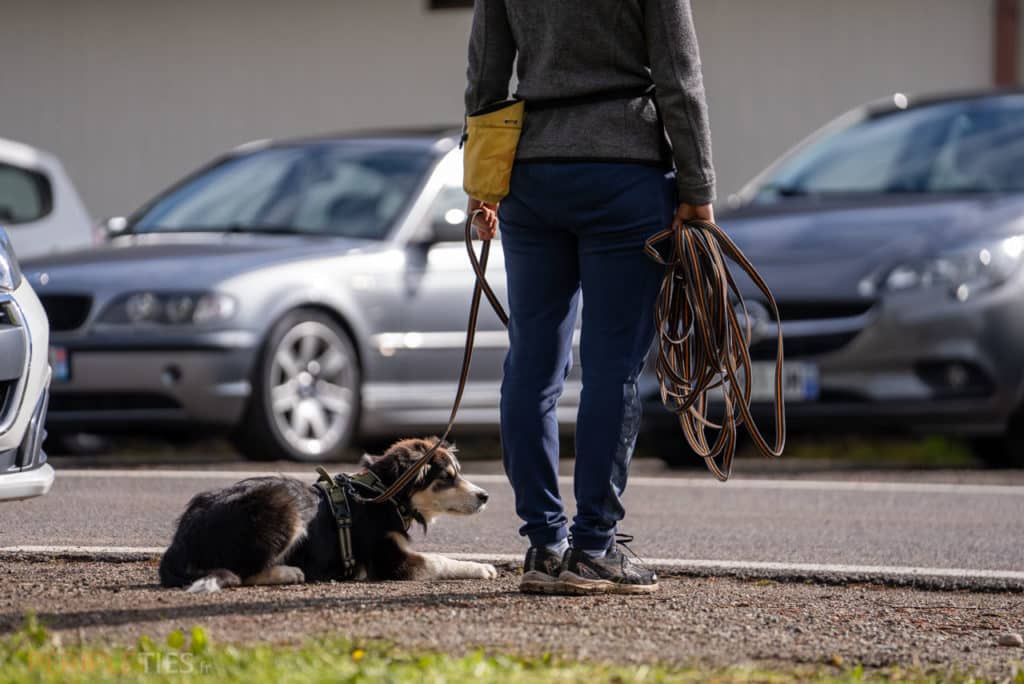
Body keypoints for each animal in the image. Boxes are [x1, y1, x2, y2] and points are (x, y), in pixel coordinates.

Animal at [157, 438, 497, 593]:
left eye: (458, 474)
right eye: (447, 478)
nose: (485, 497)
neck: (383, 493)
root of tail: (179, 544)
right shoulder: (389, 560)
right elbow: (440, 560)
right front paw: (481, 568)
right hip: (282, 506)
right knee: (241, 572)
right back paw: (287, 572)